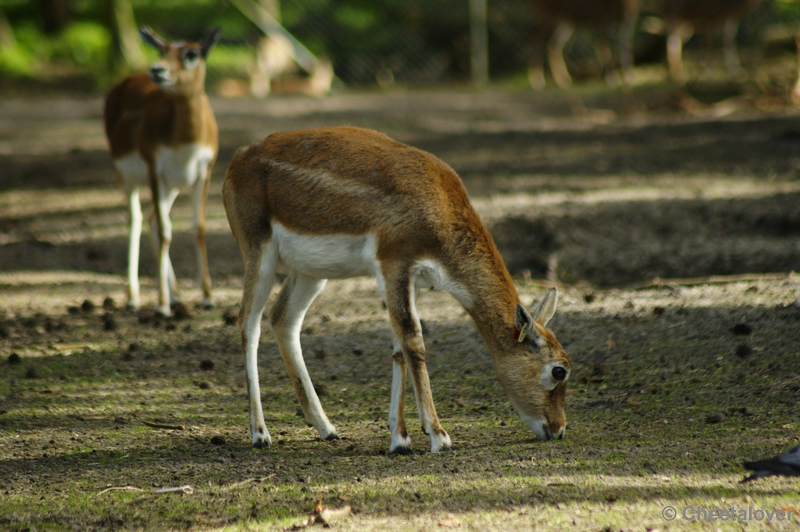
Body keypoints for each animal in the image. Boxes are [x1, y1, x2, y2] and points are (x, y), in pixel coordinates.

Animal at [104, 28, 222, 316]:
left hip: (174, 187)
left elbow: (198, 229)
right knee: (136, 220)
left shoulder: (203, 174)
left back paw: (177, 294)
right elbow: (165, 233)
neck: (184, 138)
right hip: (130, 179)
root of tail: (127, 79)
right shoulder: (154, 173)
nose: (157, 70)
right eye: (162, 51)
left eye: (191, 54)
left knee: (151, 219)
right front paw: (161, 304)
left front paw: (207, 297)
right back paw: (134, 297)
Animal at [222, 125, 572, 454]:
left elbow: (399, 348)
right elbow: (413, 340)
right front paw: (438, 436)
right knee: (247, 323)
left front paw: (400, 440)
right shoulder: (392, 263)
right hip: (257, 251)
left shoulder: (412, 279)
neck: (439, 210)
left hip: (310, 271)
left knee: (283, 318)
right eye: (559, 371)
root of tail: (237, 159)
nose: (558, 430)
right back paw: (260, 434)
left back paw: (328, 428)